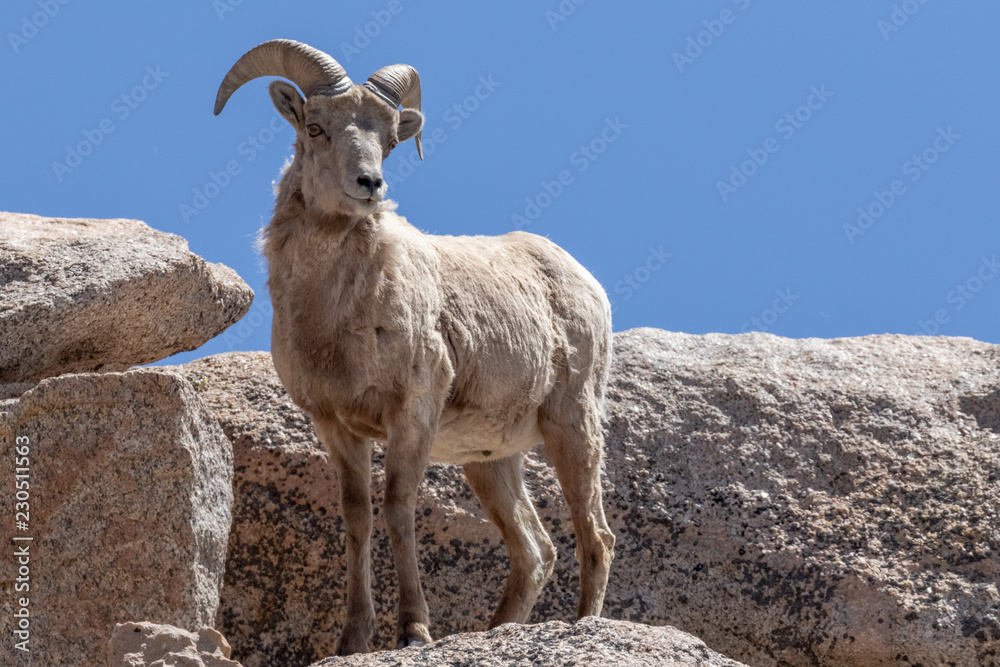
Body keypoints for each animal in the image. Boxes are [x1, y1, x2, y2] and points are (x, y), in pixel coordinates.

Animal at [215, 39, 615, 655]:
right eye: (315, 127)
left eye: (388, 140)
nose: (368, 184)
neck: (335, 315)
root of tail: (584, 281)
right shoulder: (335, 425)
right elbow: (358, 517)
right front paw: (353, 639)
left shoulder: (412, 412)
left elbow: (399, 508)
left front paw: (414, 631)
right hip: (492, 461)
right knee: (536, 551)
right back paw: (496, 631)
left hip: (572, 423)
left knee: (595, 536)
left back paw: (584, 625)